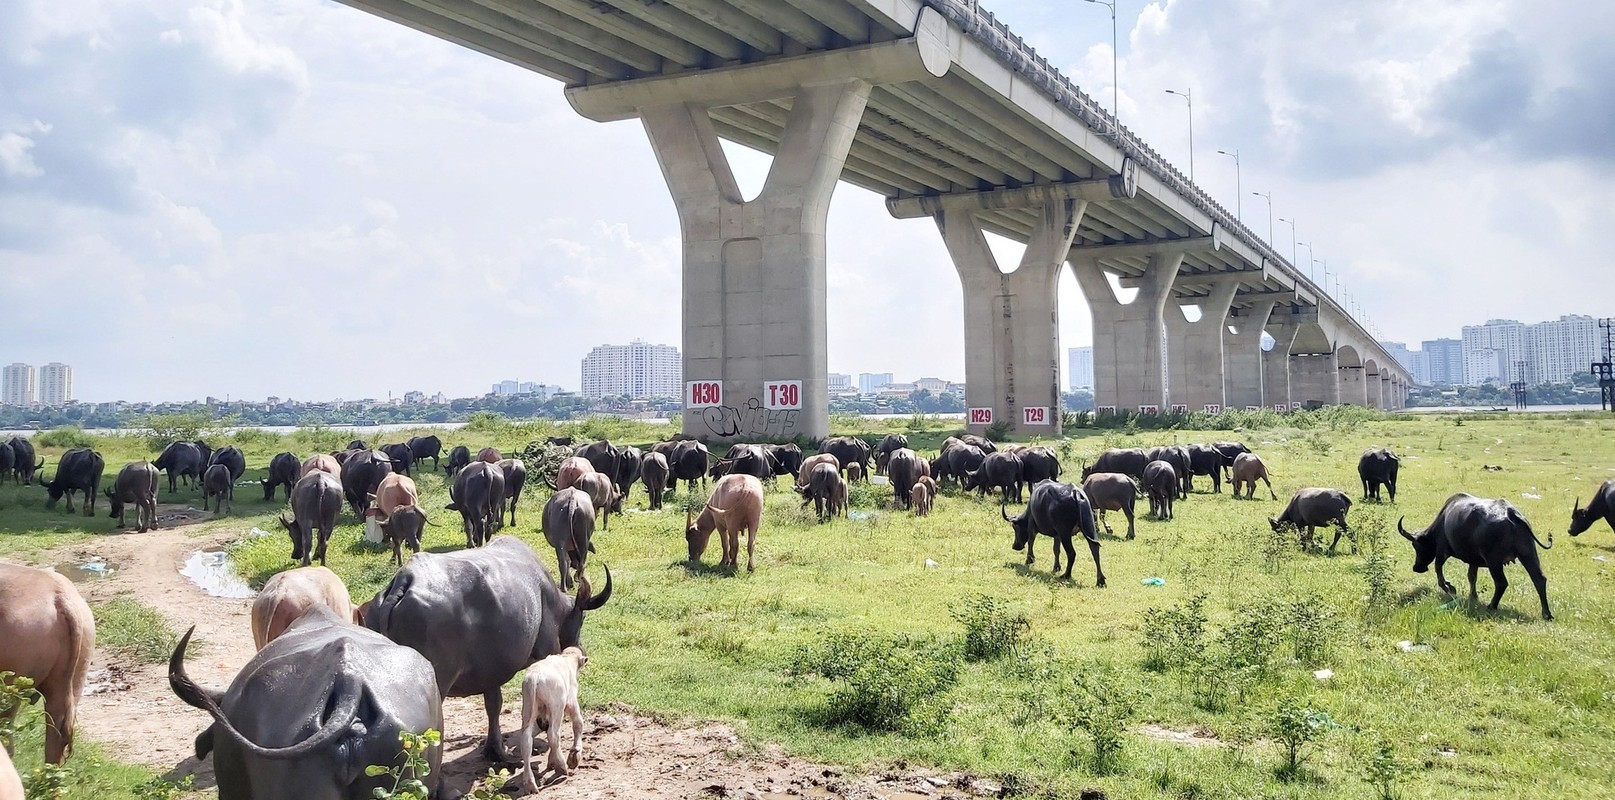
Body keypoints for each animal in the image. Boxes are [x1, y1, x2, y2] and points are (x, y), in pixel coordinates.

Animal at [360, 539, 610, 762]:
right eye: (582, 618)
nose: (581, 652)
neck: (547, 597)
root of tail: (404, 581)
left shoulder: (491, 672)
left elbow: (494, 705)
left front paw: (496, 751)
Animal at [1401, 494, 1550, 620]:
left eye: (1416, 546)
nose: (1417, 567)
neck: (1442, 521)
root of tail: (1511, 513)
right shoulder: (1474, 561)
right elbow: (1472, 577)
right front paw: (1473, 596)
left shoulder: (1442, 552)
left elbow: (1439, 572)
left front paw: (1450, 588)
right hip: (1528, 554)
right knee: (1539, 579)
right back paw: (1546, 613)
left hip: (1494, 561)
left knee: (1501, 583)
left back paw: (1492, 606)